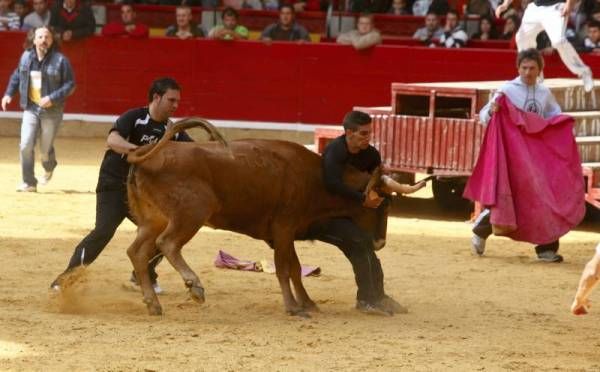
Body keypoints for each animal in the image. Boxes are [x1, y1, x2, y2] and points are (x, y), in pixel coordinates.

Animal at [125, 117, 408, 316]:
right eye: (382, 205)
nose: (379, 243)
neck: (316, 177)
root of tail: (145, 156)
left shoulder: (285, 233)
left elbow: (294, 268)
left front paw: (307, 303)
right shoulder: (283, 228)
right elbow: (283, 268)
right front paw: (293, 307)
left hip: (154, 220)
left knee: (137, 251)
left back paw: (153, 304)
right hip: (192, 213)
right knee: (168, 243)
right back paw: (194, 286)